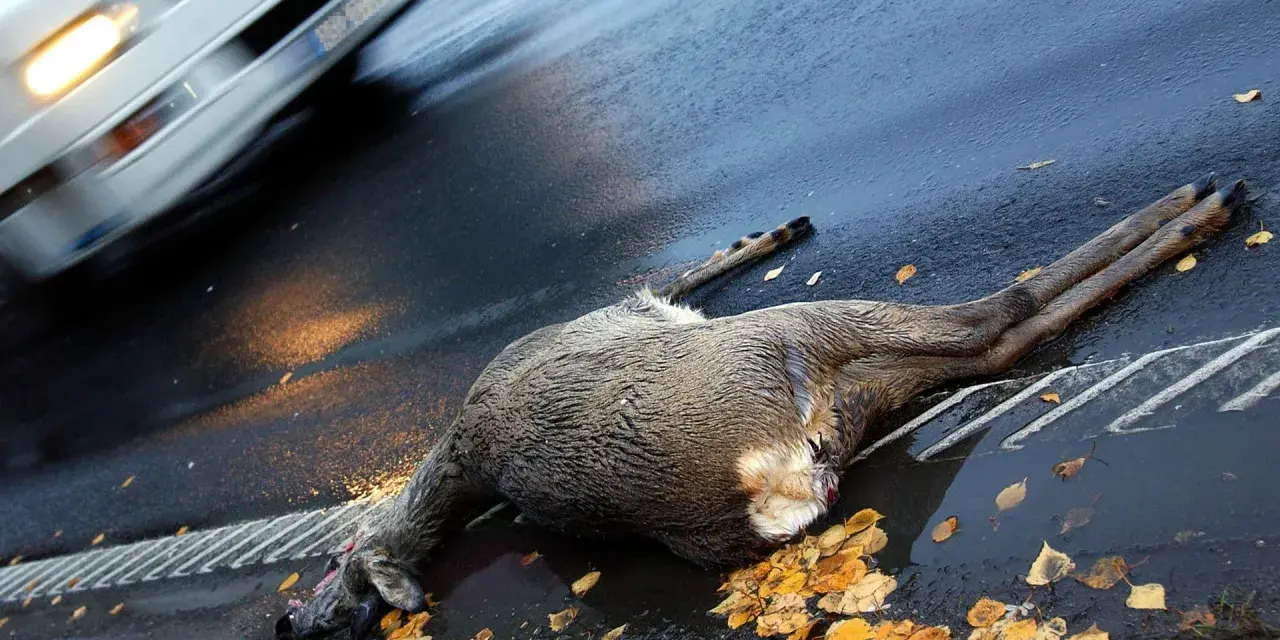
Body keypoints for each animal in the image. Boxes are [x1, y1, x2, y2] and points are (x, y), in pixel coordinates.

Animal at [277, 174, 1244, 638]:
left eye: (336, 574)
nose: (290, 622)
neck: (454, 457)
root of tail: (758, 490)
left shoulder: (632, 310)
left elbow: (681, 272)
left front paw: (773, 228)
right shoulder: (635, 311)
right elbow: (678, 274)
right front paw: (775, 230)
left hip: (848, 402)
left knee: (991, 346)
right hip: (793, 341)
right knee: (993, 314)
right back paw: (1200, 205)